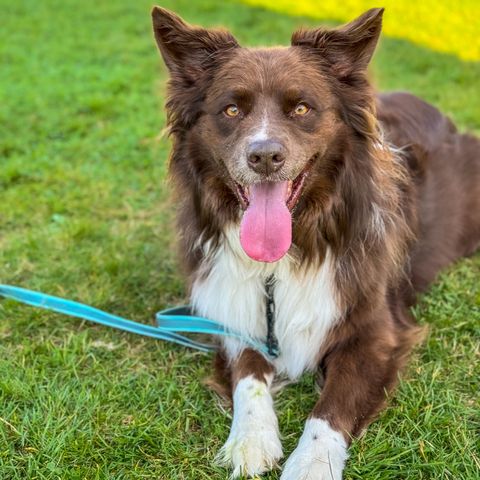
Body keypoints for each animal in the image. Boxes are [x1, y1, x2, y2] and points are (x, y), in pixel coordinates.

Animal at [151, 5, 480, 478]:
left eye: (302, 108)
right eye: (231, 109)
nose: (264, 156)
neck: (288, 251)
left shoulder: (374, 329)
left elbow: (331, 406)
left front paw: (311, 462)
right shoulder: (232, 312)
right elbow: (249, 377)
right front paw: (250, 440)